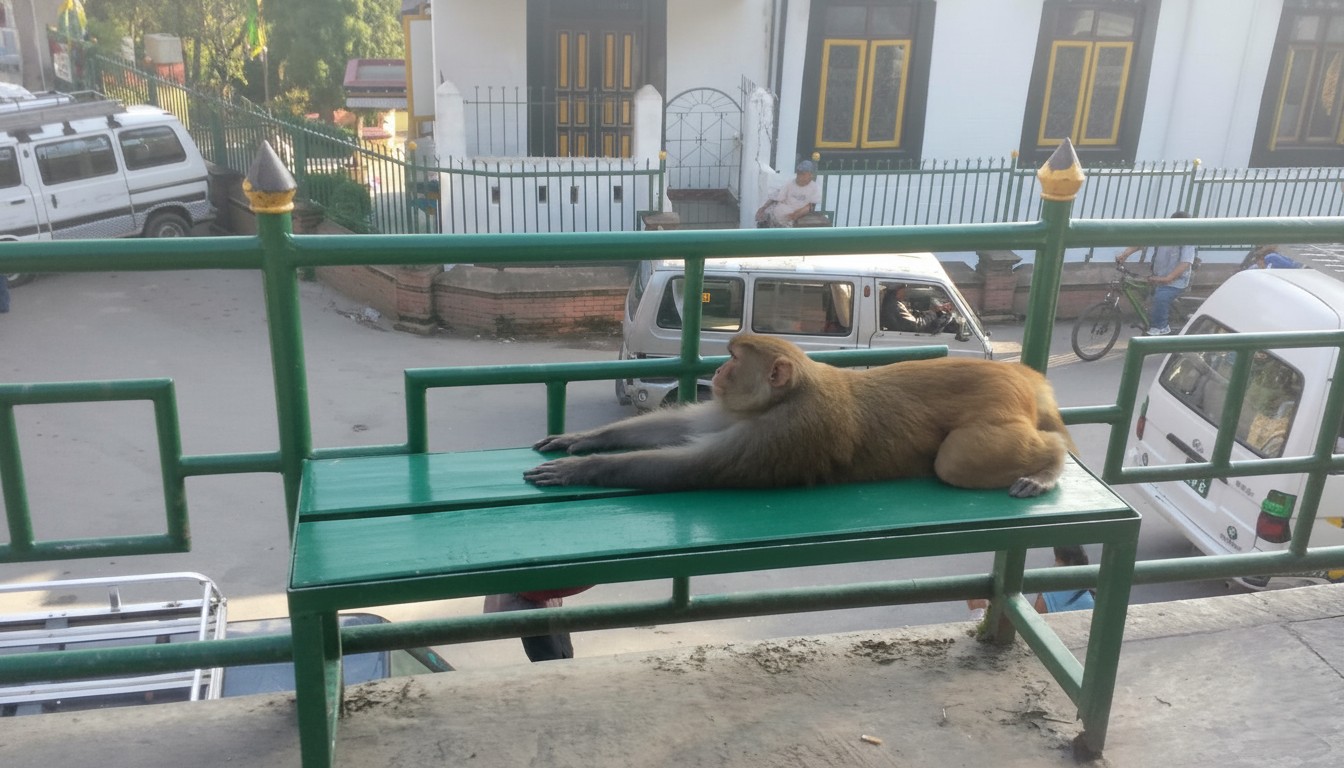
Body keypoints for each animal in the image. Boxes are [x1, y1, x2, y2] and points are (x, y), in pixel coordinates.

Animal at [524, 334, 1075, 498]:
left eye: (736, 358)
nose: (718, 370)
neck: (789, 396)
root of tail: (1020, 375)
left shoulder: (787, 430)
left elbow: (696, 466)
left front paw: (584, 469)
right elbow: (683, 426)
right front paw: (588, 438)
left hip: (995, 417)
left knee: (957, 460)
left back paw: (1049, 465)